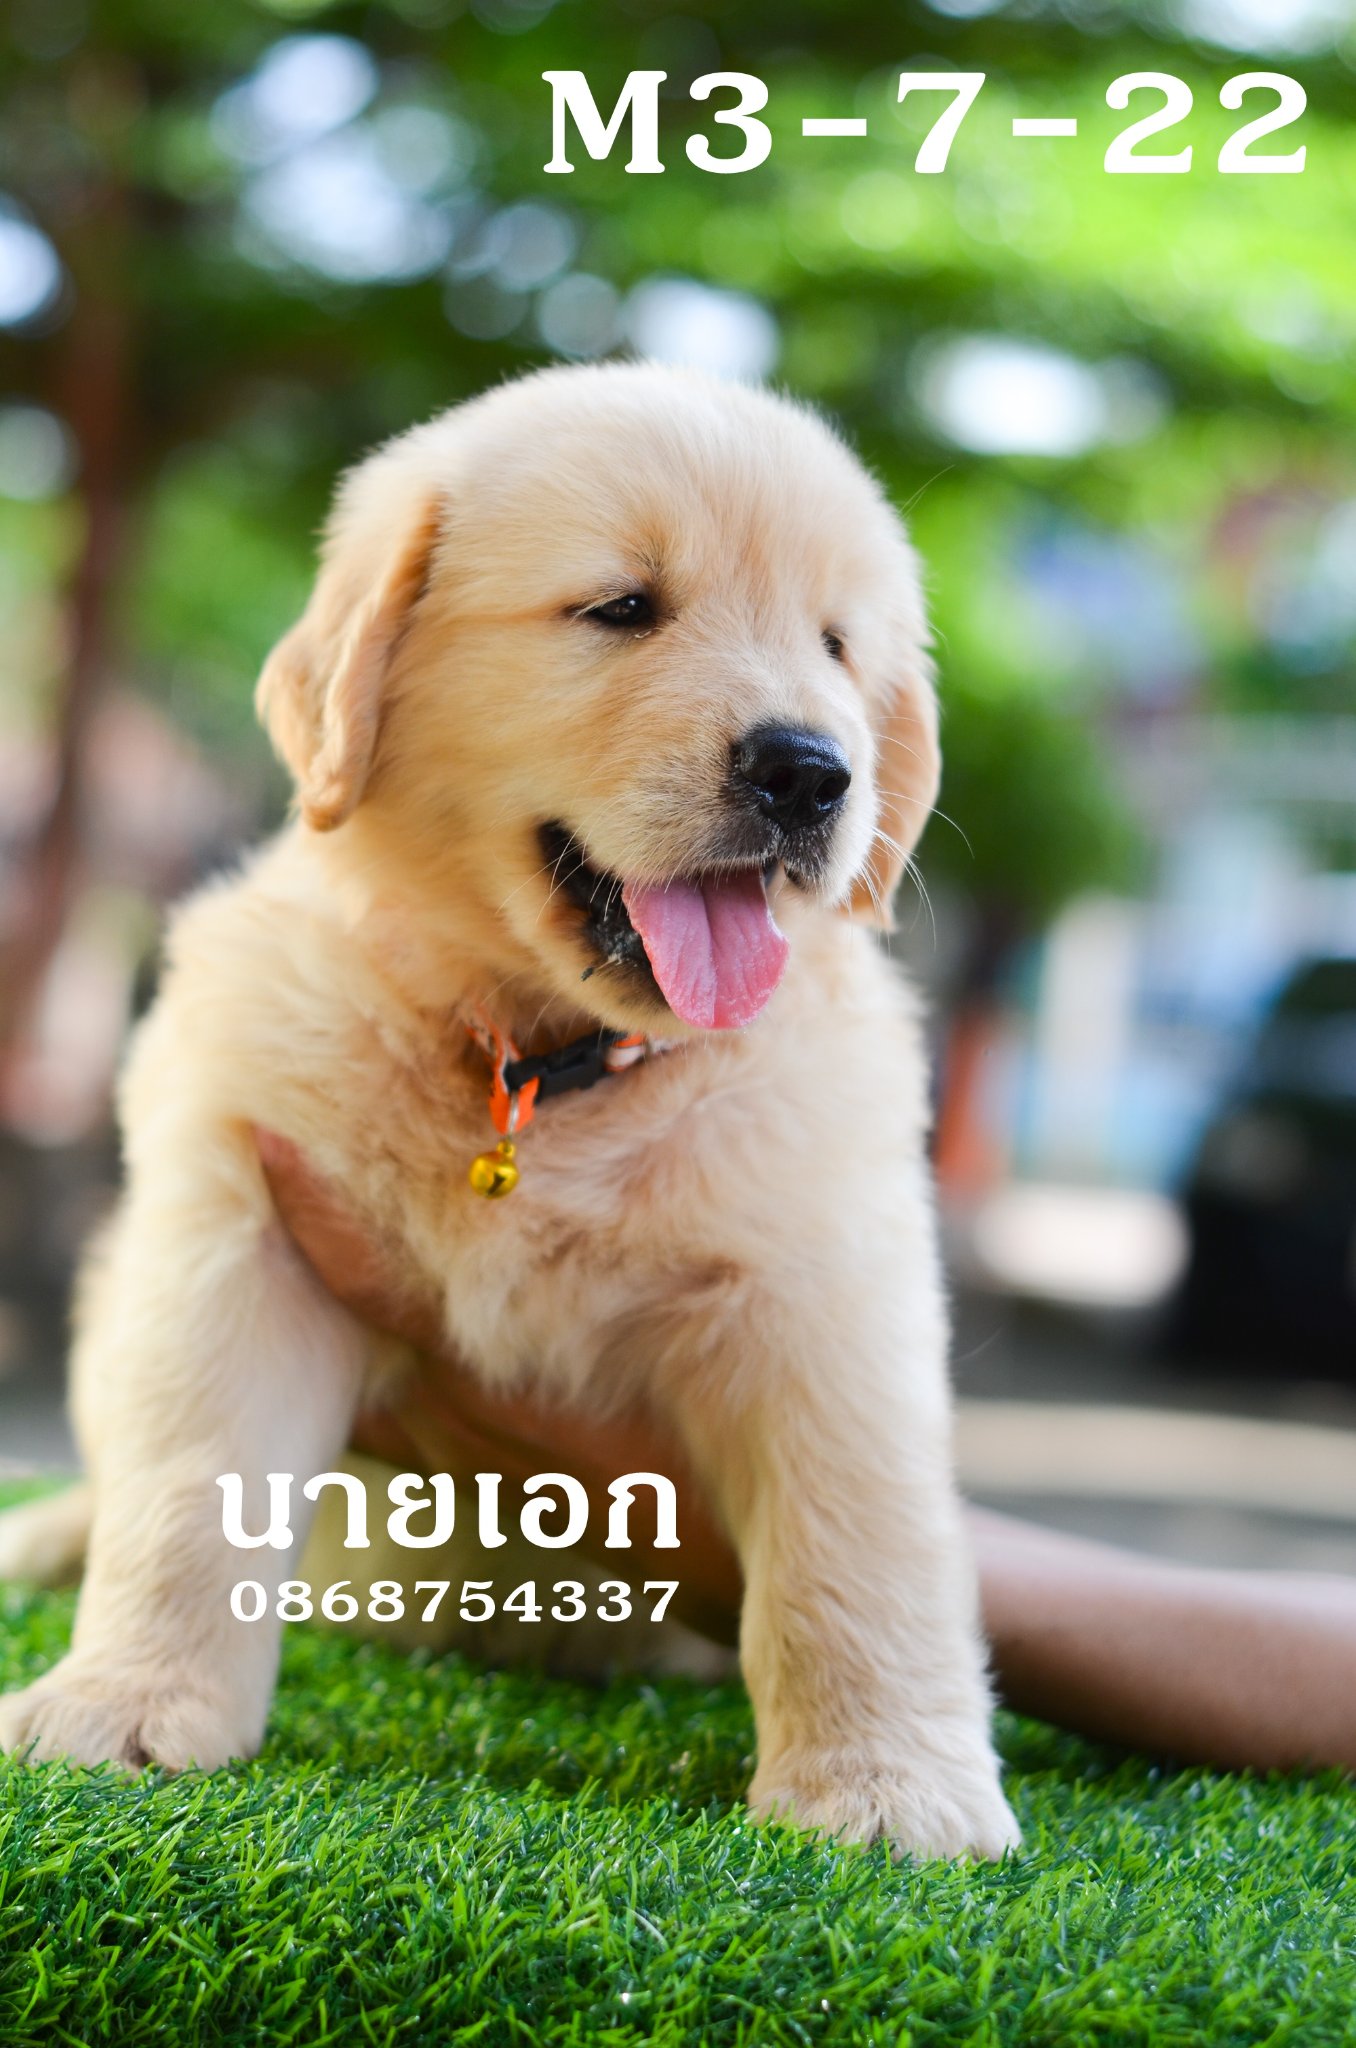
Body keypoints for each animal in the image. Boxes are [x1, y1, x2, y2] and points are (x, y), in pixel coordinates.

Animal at [0, 363, 1018, 1860]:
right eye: (623, 607)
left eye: (837, 646)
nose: (812, 773)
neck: (542, 1067)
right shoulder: (240, 1227)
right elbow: (187, 1483)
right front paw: (124, 1704)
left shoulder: (822, 1286)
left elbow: (858, 1538)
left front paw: (888, 1788)